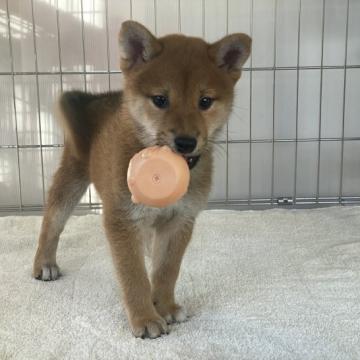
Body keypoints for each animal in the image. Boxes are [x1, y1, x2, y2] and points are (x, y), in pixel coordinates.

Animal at [32, 21, 250, 338]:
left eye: (205, 102)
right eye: (160, 100)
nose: (186, 142)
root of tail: (99, 101)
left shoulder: (180, 221)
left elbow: (166, 270)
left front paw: (165, 305)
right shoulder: (122, 220)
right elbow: (133, 276)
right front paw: (145, 317)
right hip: (70, 181)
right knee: (51, 225)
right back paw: (44, 263)